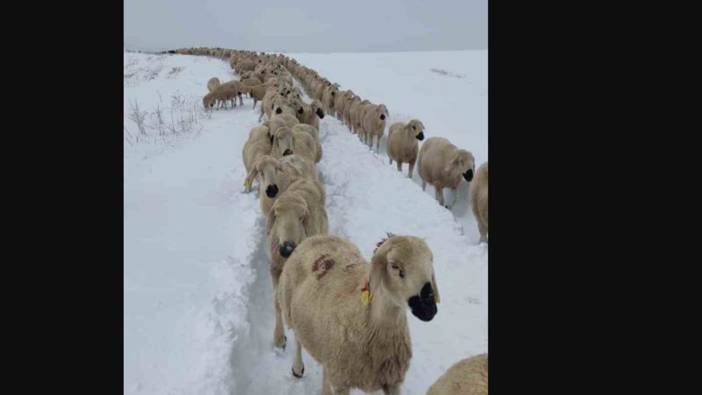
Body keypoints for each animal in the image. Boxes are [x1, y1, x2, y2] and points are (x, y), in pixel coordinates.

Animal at [268, 179, 328, 350]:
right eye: (276, 215)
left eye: (301, 218)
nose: (287, 249)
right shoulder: (274, 269)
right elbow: (276, 301)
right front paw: (278, 337)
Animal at [280, 234, 440, 394]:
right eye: (394, 266)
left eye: (430, 260)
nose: (429, 307)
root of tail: (317, 237)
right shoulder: (340, 382)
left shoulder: (392, 381)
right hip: (289, 309)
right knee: (297, 338)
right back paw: (297, 368)